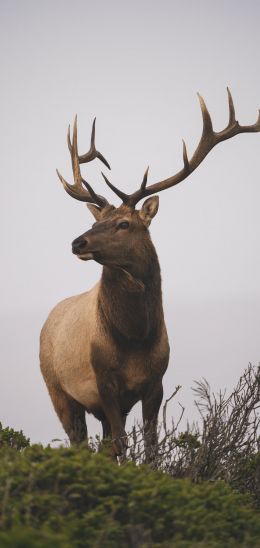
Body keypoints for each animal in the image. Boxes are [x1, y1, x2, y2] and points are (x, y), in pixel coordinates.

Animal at [39, 91, 260, 458]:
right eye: (96, 221)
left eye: (123, 223)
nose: (77, 242)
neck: (135, 336)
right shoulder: (103, 380)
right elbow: (120, 443)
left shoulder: (155, 382)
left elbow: (151, 446)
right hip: (57, 389)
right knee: (80, 441)